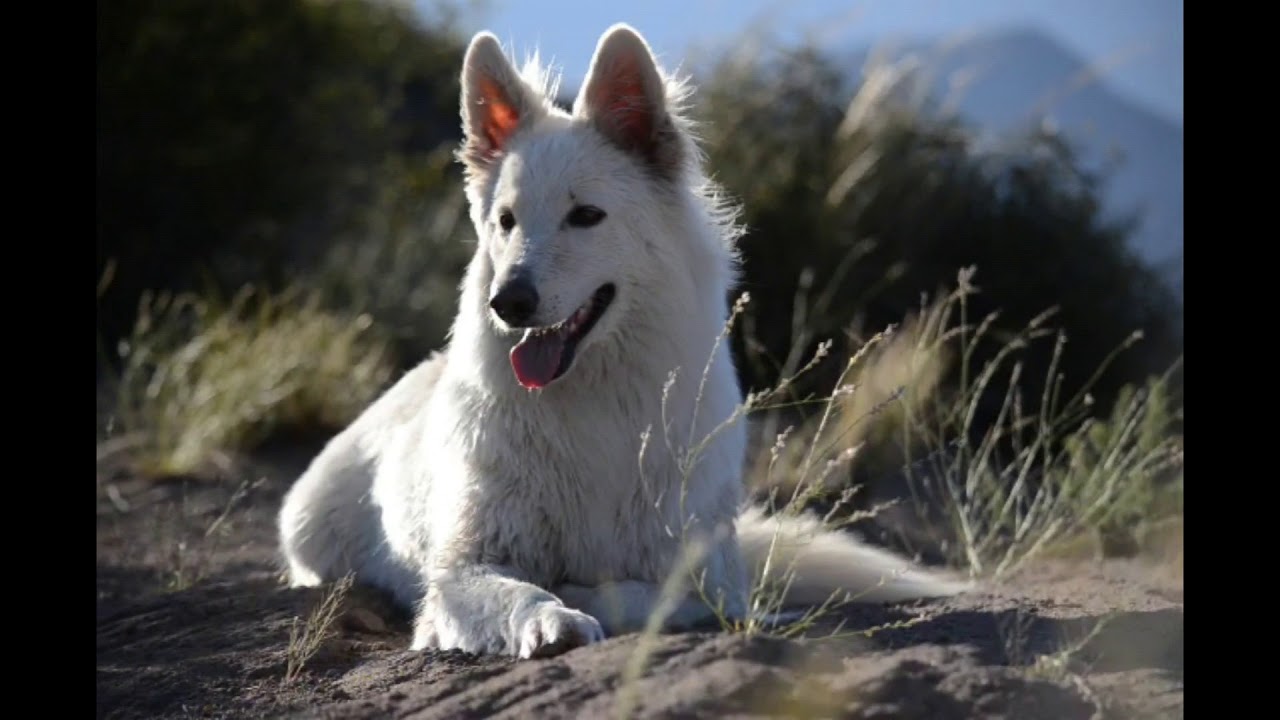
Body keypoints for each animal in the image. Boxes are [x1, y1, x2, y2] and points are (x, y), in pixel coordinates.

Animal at [277, 23, 967, 659]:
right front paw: (552, 618)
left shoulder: (708, 576)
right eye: (506, 221)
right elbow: (521, 591)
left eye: (585, 216)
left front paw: (576, 594)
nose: (508, 302)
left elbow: (648, 592)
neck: (595, 400)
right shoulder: (463, 570)